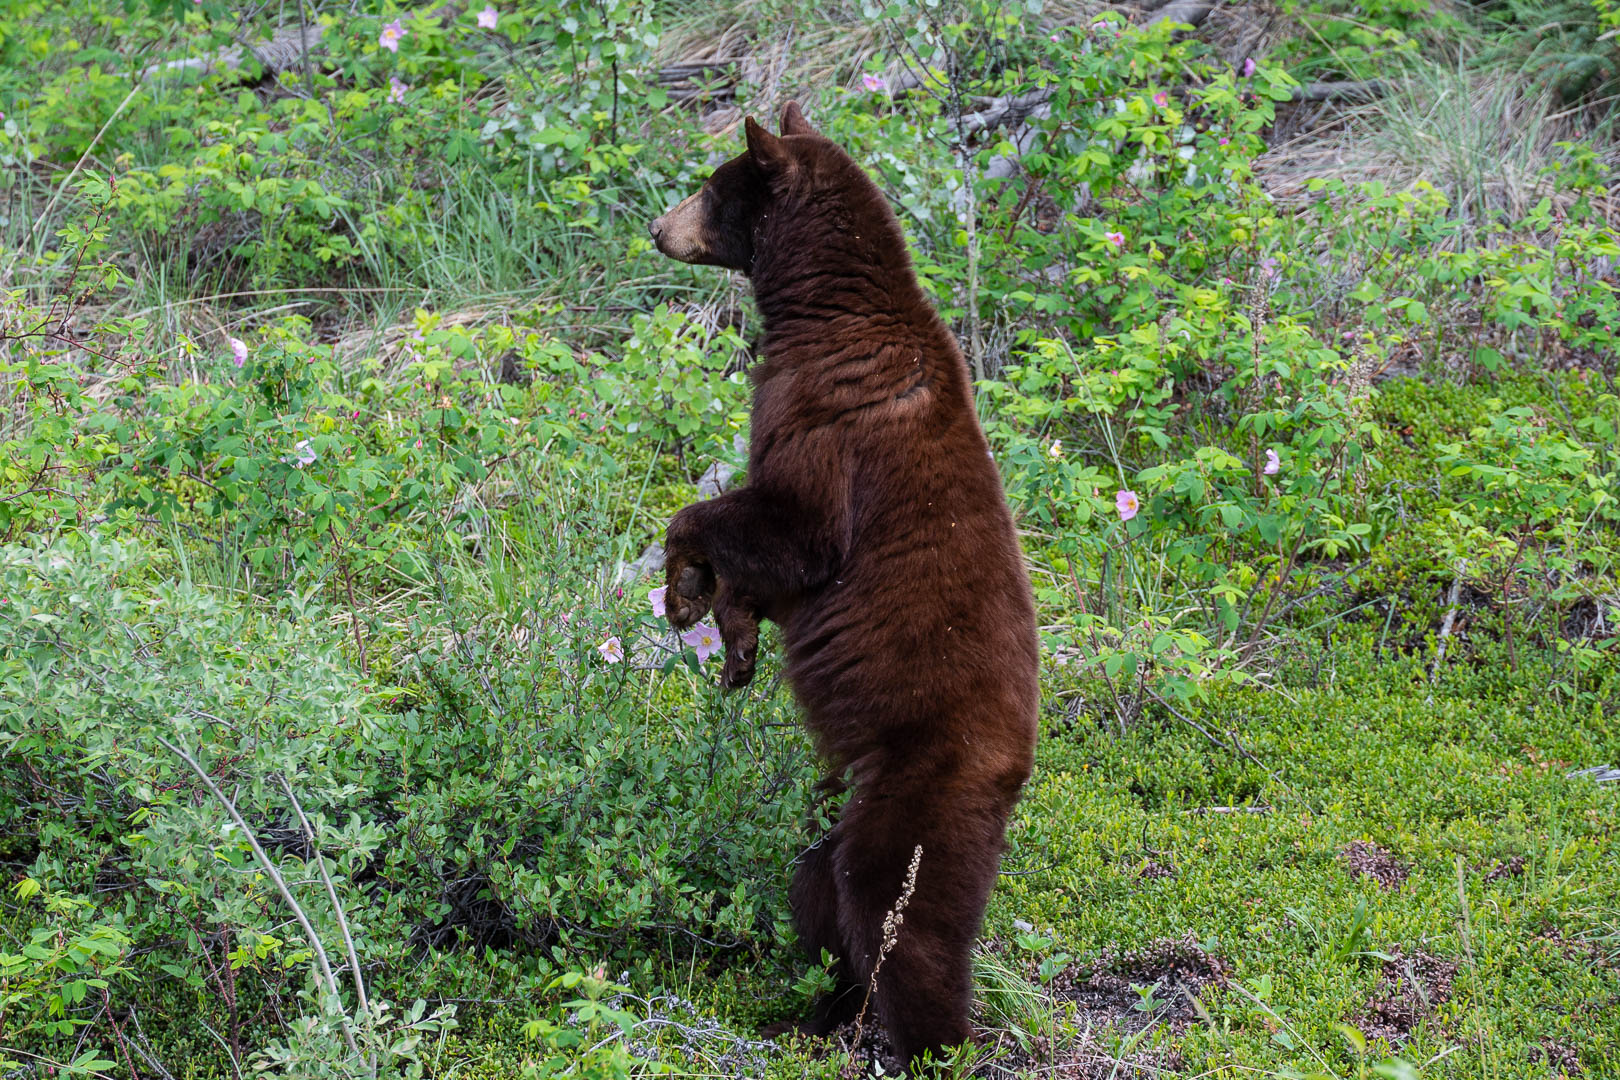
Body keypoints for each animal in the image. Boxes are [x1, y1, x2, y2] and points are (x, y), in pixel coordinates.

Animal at [648, 102, 1039, 1071]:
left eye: (709, 186)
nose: (658, 228)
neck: (828, 312)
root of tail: (1015, 766)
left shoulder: (827, 428)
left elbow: (784, 529)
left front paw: (684, 589)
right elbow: (771, 575)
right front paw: (736, 644)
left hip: (925, 782)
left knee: (894, 908)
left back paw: (923, 1043)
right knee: (818, 887)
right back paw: (821, 1012)